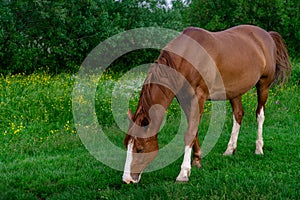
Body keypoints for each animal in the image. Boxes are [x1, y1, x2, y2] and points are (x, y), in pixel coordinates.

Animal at [122, 25, 290, 184]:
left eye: (140, 149)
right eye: (126, 145)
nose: (127, 179)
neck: (187, 59)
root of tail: (267, 35)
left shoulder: (199, 97)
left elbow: (190, 133)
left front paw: (183, 173)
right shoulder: (184, 99)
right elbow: (194, 129)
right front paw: (197, 160)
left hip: (263, 85)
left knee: (260, 115)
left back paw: (259, 148)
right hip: (234, 91)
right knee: (238, 114)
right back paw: (230, 149)